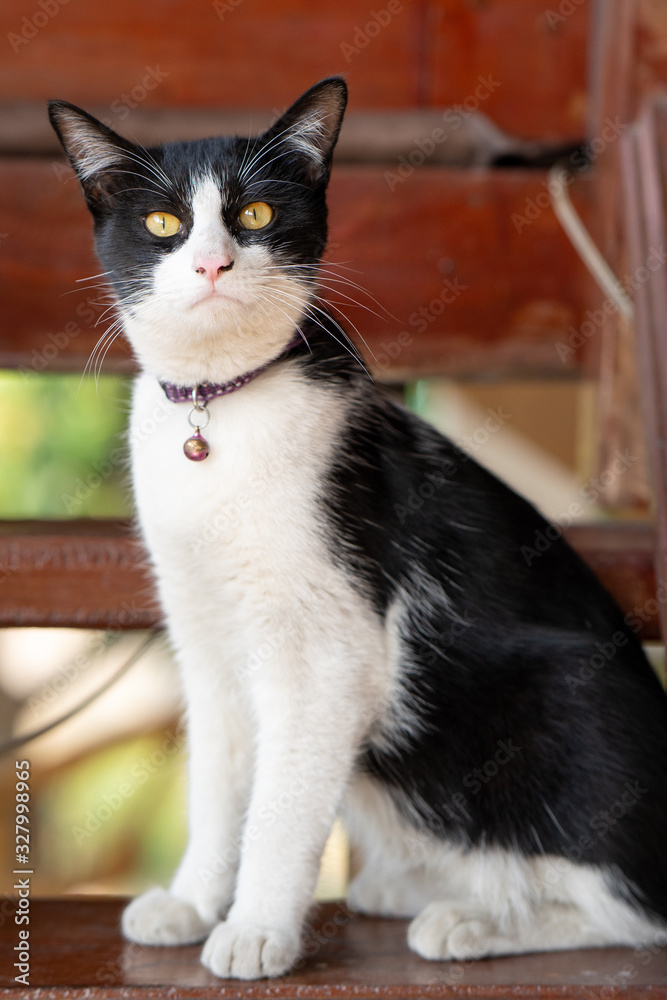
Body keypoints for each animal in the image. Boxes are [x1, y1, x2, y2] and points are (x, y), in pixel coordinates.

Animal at [49, 80, 667, 984]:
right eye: (164, 223)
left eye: (257, 213)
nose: (211, 263)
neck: (218, 411)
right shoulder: (205, 639)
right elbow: (218, 784)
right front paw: (193, 902)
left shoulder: (329, 654)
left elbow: (281, 806)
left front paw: (254, 930)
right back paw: (421, 889)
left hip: (556, 697)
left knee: (632, 908)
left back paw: (475, 921)